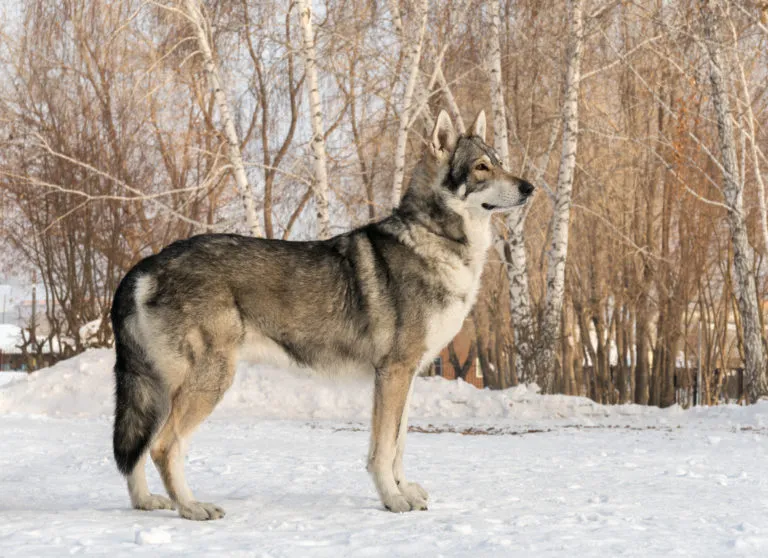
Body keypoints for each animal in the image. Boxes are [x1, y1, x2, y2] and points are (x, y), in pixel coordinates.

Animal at [111, 109, 534, 520]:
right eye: (481, 167)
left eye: (499, 162)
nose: (529, 187)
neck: (435, 239)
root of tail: (148, 262)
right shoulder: (393, 373)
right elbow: (383, 450)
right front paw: (392, 500)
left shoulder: (407, 375)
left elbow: (399, 444)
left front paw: (405, 491)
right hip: (207, 381)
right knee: (164, 446)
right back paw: (192, 507)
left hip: (156, 390)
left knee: (137, 451)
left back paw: (146, 502)